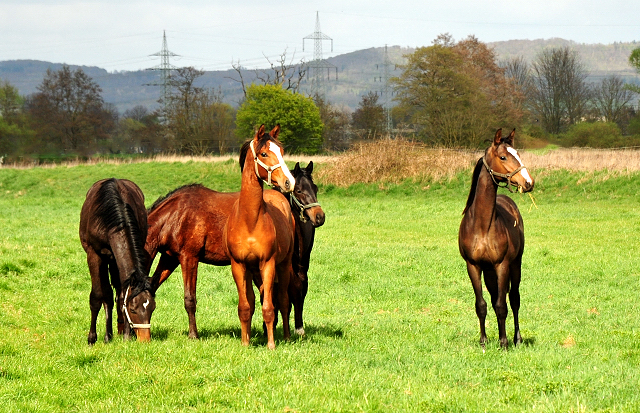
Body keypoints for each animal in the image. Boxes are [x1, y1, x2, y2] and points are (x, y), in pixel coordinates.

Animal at [79, 179, 156, 342]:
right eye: (133, 309)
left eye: (152, 308)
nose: (145, 339)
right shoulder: (94, 255)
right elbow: (97, 296)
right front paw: (92, 338)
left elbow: (121, 296)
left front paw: (126, 335)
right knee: (106, 294)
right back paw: (107, 335)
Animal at [225, 124, 296, 348]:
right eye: (264, 153)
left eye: (281, 151)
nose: (289, 182)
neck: (250, 221)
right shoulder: (239, 265)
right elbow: (245, 306)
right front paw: (245, 343)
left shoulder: (269, 264)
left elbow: (269, 308)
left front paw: (271, 345)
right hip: (252, 271)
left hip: (283, 265)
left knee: (282, 300)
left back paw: (286, 336)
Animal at [460, 129, 536, 348]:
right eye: (503, 157)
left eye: (518, 153)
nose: (528, 182)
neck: (482, 226)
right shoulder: (473, 265)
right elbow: (482, 304)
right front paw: (483, 341)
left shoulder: (502, 265)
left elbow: (503, 305)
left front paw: (503, 342)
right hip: (488, 271)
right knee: (494, 299)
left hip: (515, 264)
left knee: (514, 299)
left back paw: (516, 338)